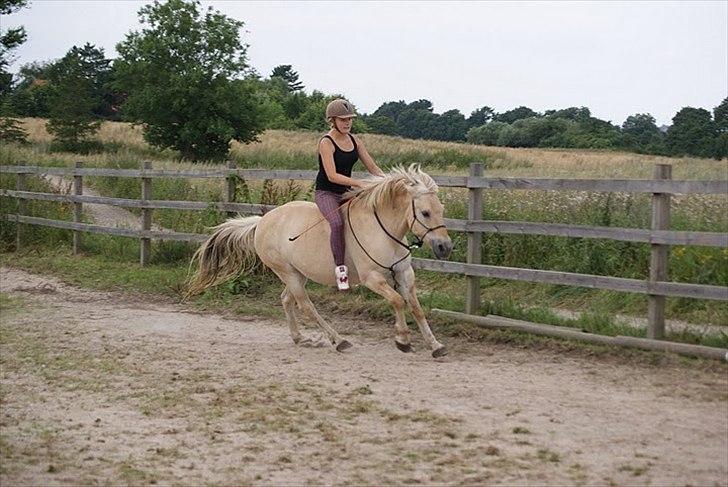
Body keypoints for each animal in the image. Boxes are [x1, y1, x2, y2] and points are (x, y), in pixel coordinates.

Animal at [185, 164, 452, 358]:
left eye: (441, 210)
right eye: (425, 213)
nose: (445, 247)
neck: (384, 231)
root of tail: (262, 222)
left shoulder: (404, 274)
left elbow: (416, 308)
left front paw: (435, 345)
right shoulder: (372, 278)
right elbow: (398, 301)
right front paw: (403, 340)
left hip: (297, 273)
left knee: (286, 300)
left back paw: (300, 338)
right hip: (288, 273)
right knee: (306, 306)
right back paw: (339, 340)